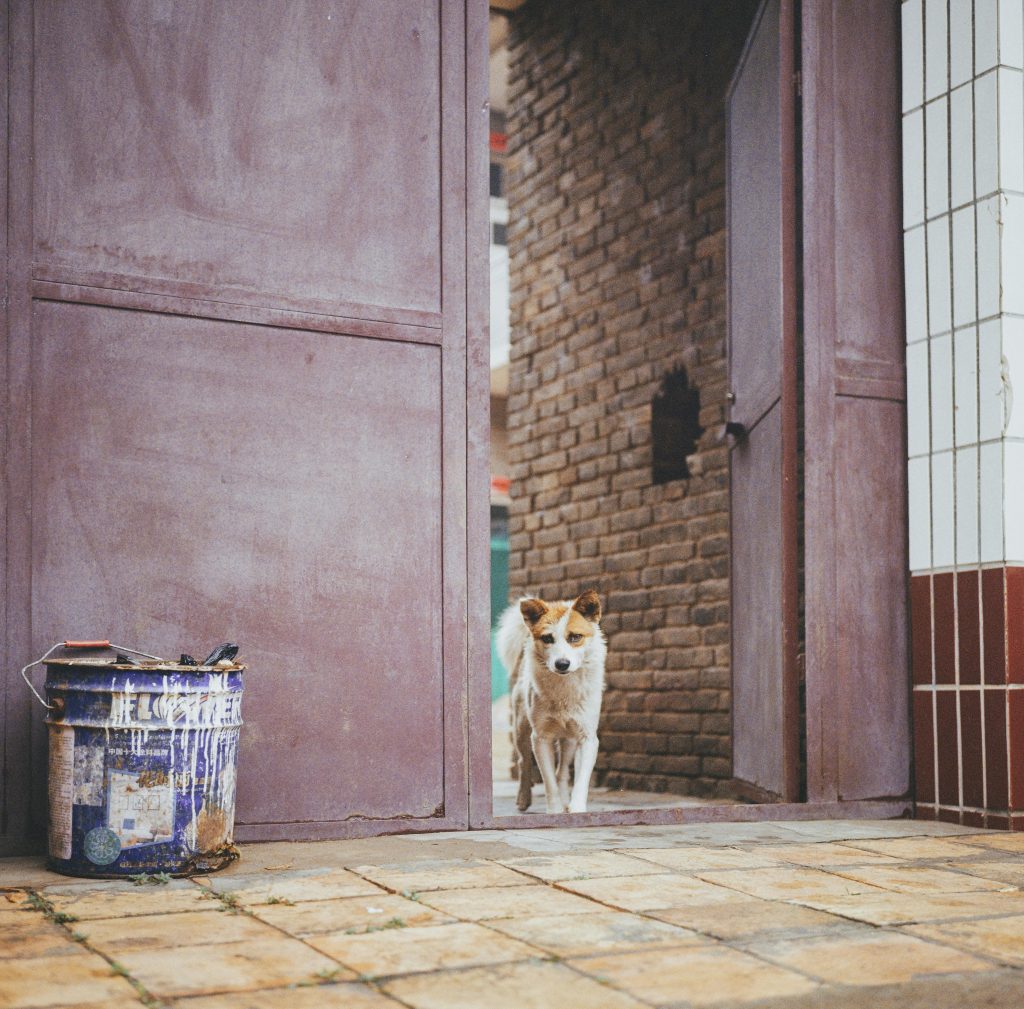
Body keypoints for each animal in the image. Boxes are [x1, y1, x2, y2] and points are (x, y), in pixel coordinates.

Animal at [497, 590, 606, 811]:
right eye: (547, 638)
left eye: (575, 637)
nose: (562, 664)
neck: (563, 691)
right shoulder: (540, 738)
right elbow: (548, 782)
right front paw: (554, 810)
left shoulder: (587, 738)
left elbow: (580, 781)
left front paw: (575, 809)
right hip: (521, 729)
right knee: (523, 762)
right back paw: (523, 799)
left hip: (569, 740)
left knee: (562, 771)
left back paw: (565, 800)